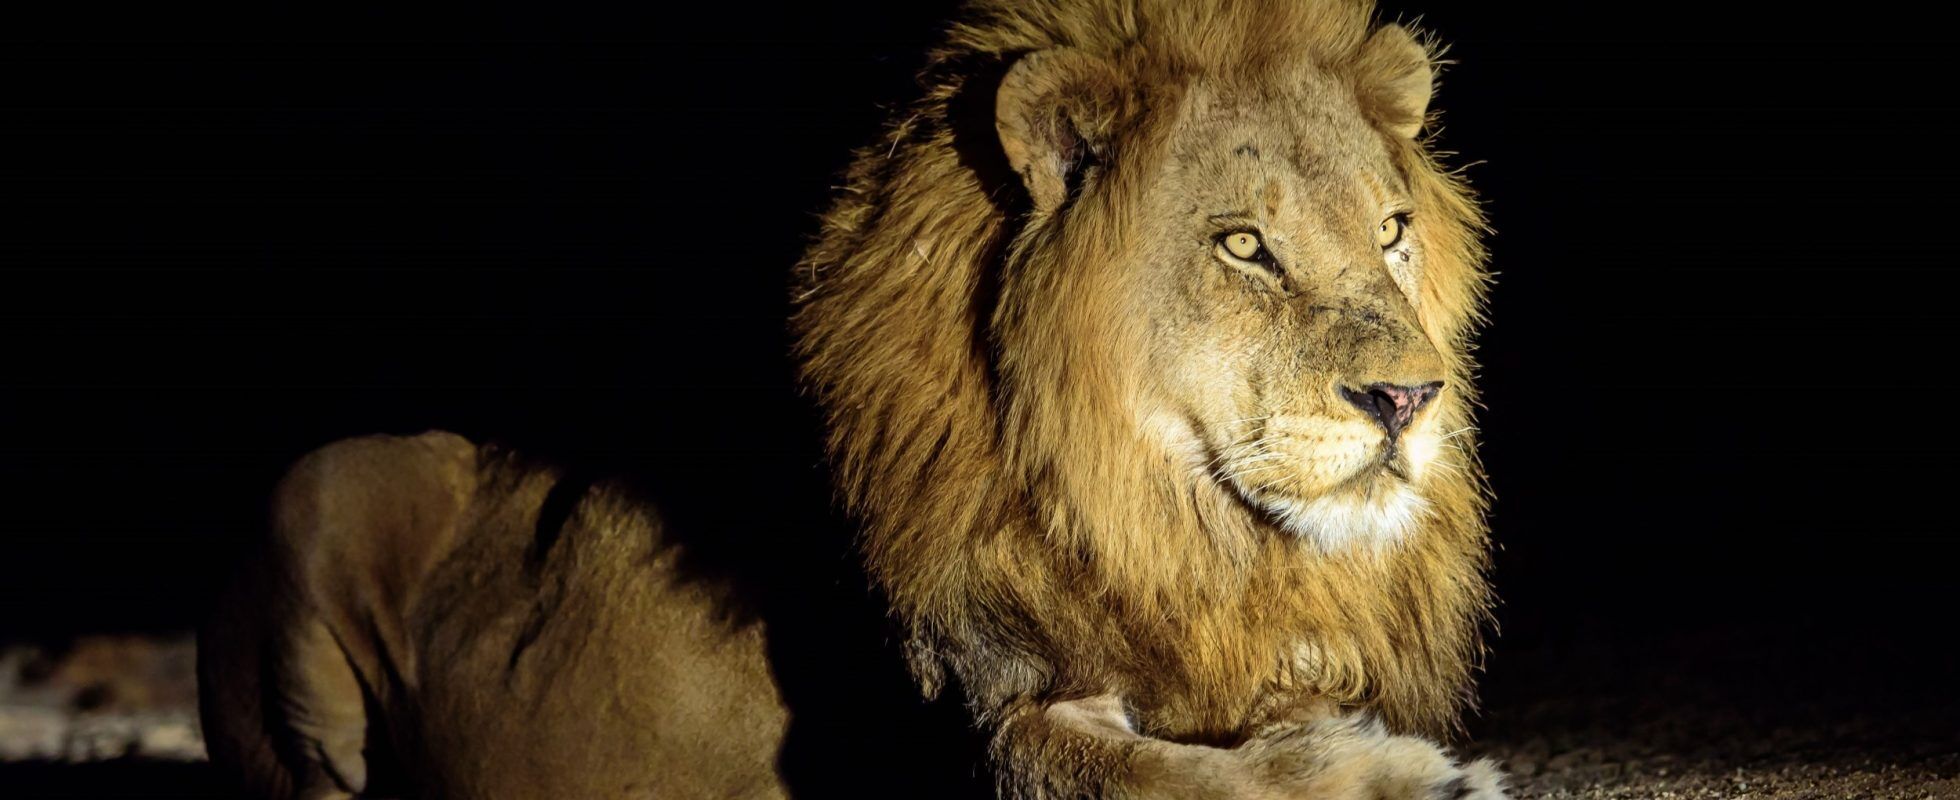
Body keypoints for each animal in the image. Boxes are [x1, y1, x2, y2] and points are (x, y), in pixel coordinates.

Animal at [199, 1, 1503, 797]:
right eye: (1242, 246)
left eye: (1390, 231)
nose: (1407, 396)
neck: (1164, 521)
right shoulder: (948, 734)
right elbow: (1141, 770)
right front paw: (1406, 772)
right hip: (324, 482)